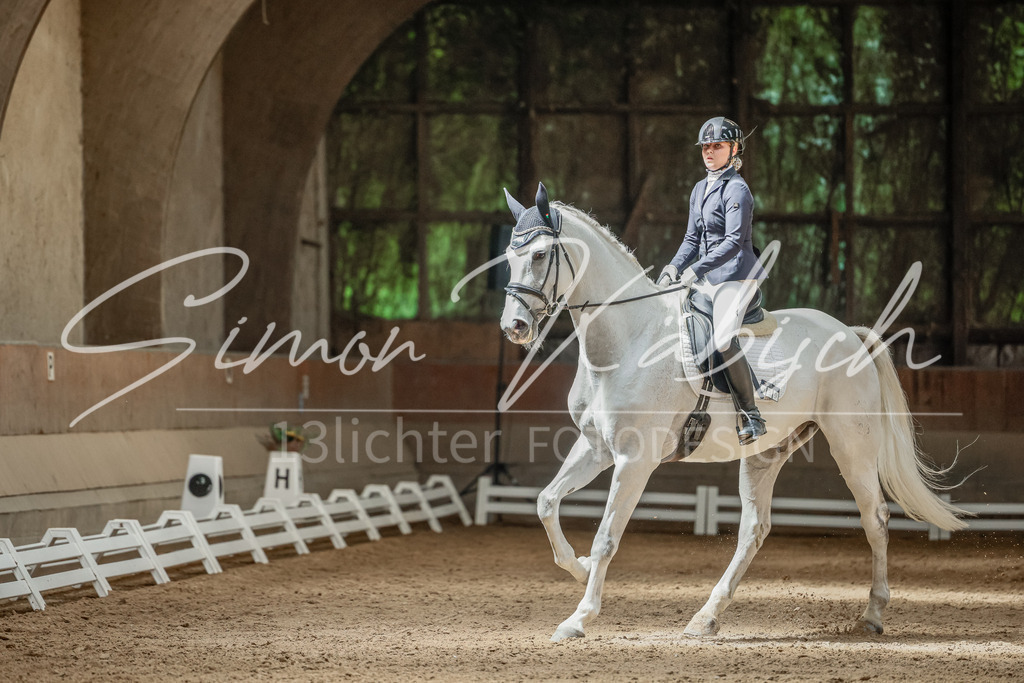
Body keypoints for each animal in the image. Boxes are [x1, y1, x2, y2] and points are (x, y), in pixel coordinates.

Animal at [498, 183, 968, 643]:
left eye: (539, 255)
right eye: (509, 255)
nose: (514, 327)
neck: (629, 338)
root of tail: (849, 334)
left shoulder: (634, 460)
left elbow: (606, 538)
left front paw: (579, 618)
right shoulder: (596, 446)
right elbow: (546, 502)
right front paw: (577, 569)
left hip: (853, 447)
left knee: (876, 518)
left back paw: (871, 615)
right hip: (767, 452)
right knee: (754, 530)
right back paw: (706, 617)